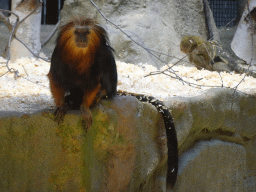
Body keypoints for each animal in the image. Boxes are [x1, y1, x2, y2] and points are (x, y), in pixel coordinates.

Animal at [48, 18, 178, 189]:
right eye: (77, 32)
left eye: (86, 32)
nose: (81, 39)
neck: (79, 55)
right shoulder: (58, 56)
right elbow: (55, 79)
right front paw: (61, 105)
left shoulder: (101, 55)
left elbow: (94, 82)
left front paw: (85, 108)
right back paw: (71, 102)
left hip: (109, 84)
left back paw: (95, 97)